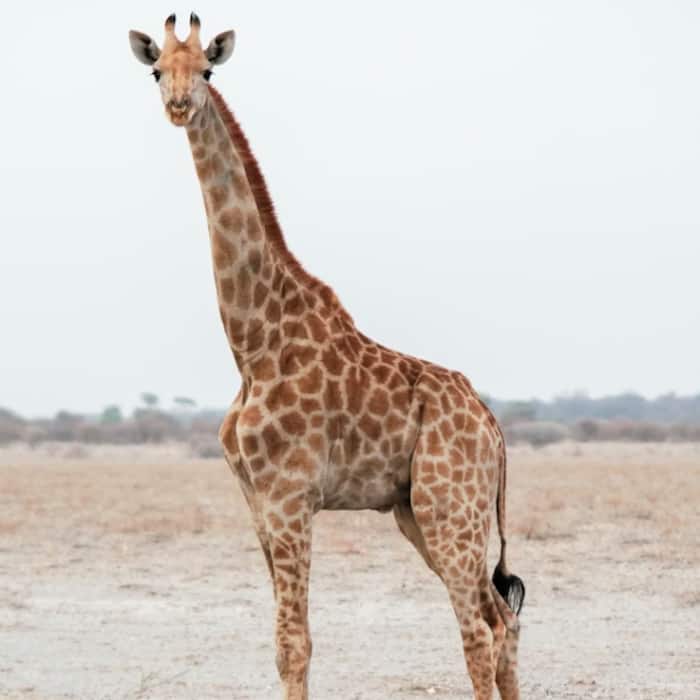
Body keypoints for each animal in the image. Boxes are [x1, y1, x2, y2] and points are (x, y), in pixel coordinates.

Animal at [129, 14, 525, 700]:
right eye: (157, 70)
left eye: (206, 70)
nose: (179, 105)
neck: (252, 344)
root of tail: (492, 426)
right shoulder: (256, 502)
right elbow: (283, 642)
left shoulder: (290, 496)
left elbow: (296, 643)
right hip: (420, 512)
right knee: (503, 619)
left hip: (450, 507)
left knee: (480, 631)